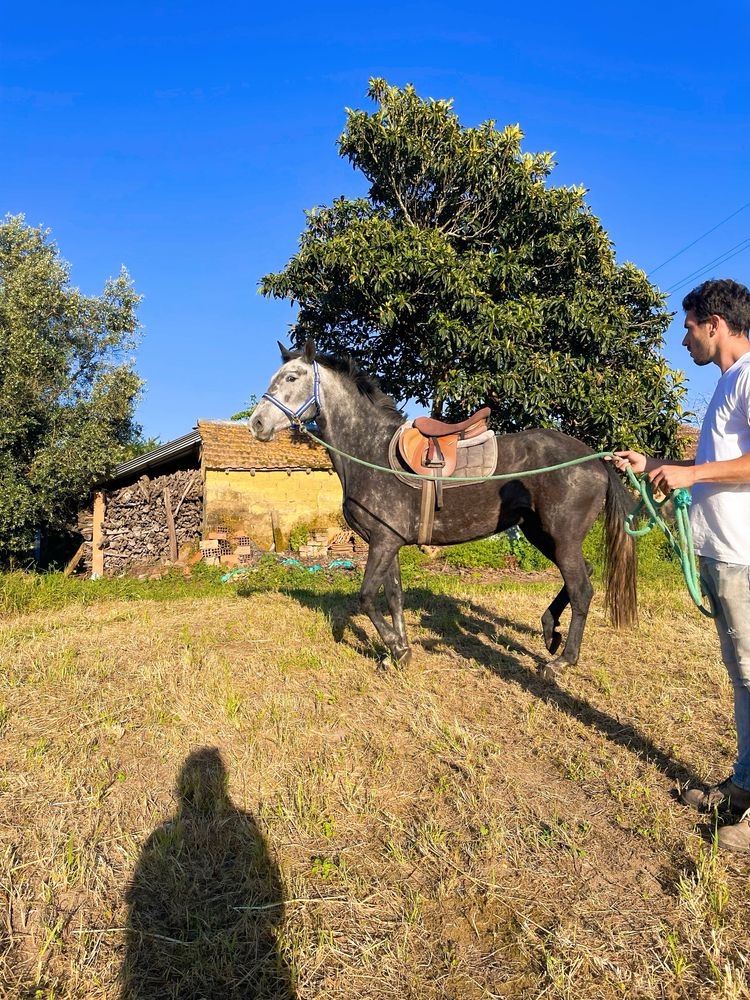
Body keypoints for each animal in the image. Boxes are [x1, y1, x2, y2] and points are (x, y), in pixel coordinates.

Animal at [250, 338, 636, 680]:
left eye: (292, 377)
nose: (256, 423)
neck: (369, 450)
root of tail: (595, 460)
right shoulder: (388, 542)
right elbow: (394, 597)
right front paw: (400, 653)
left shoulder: (382, 543)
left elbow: (366, 598)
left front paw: (395, 647)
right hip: (541, 533)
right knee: (580, 578)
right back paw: (549, 631)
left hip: (561, 537)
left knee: (582, 589)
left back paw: (562, 661)